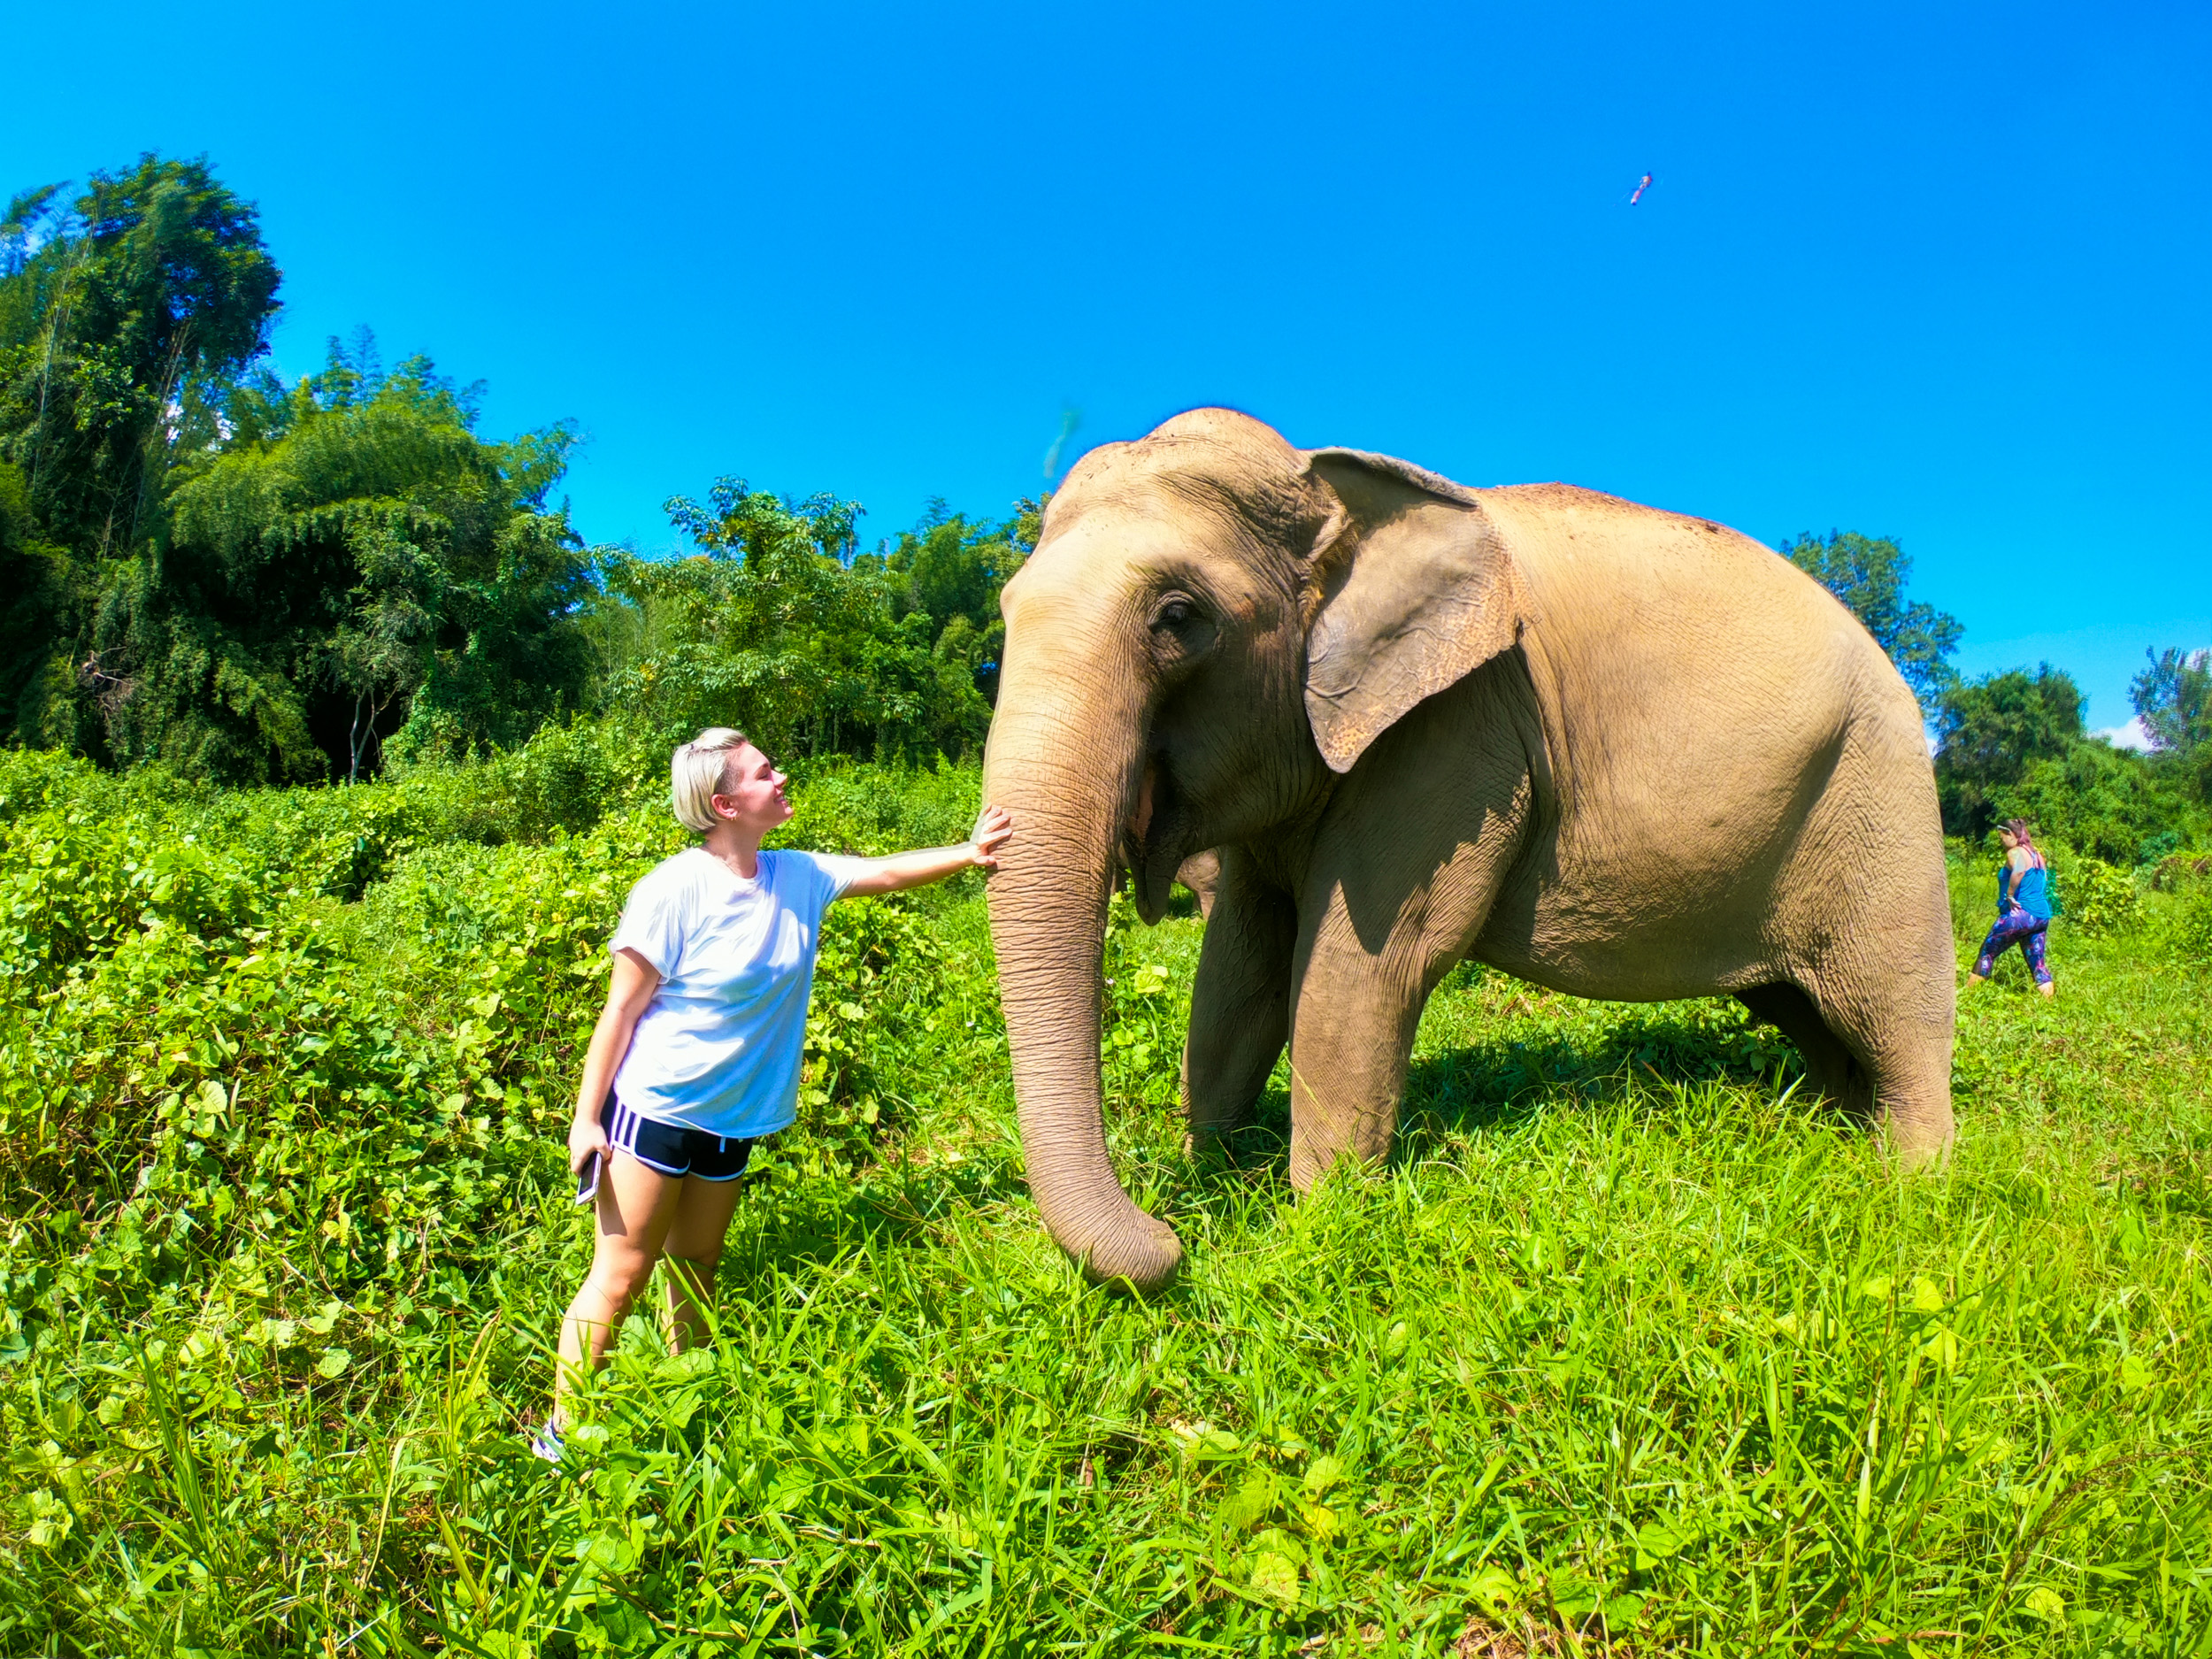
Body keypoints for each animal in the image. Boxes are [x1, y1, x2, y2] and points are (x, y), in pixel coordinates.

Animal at [980, 408, 1954, 1292]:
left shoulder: (1457, 733)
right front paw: (1213, 1163)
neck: (1330, 481)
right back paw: (1828, 1134)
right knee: (1807, 1012)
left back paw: (1907, 1184)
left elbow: (1362, 968)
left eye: (1178, 616)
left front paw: (1318, 1227)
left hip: (1884, 800)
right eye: (1003, 605)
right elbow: (1237, 969)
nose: (1172, 1238)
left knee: (1892, 1010)